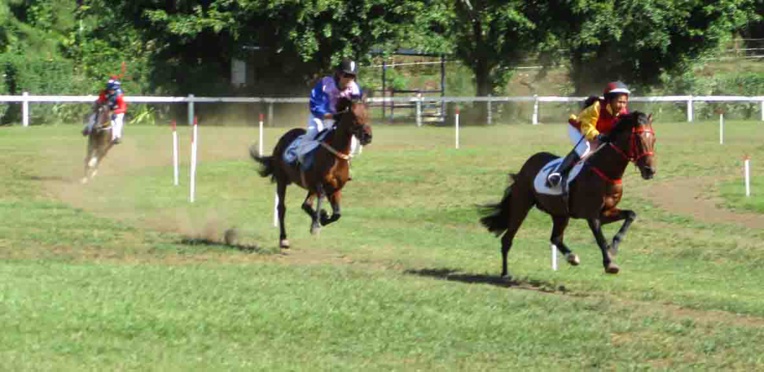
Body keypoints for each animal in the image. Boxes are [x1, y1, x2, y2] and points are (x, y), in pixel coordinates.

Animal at [249, 97, 372, 248]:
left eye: (367, 114)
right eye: (354, 116)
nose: (368, 136)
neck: (335, 155)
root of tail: (282, 139)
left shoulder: (336, 188)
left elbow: (337, 214)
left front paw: (323, 218)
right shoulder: (320, 185)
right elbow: (320, 204)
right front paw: (317, 223)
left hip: (309, 186)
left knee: (306, 205)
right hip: (282, 180)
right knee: (282, 208)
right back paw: (283, 239)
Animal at [480, 112, 652, 278]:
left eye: (654, 139)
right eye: (638, 139)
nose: (650, 170)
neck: (606, 172)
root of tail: (525, 167)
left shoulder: (605, 212)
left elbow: (630, 215)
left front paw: (614, 246)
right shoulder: (592, 216)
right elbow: (600, 239)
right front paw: (609, 264)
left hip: (560, 213)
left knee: (555, 238)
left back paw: (571, 257)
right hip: (521, 205)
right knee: (507, 239)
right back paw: (505, 273)